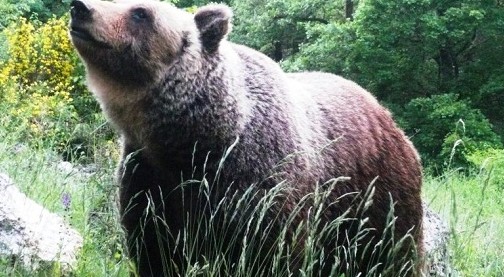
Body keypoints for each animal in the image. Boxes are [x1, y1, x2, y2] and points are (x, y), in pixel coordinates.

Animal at [69, 0, 424, 274]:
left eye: (141, 12)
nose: (81, 8)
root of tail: (387, 115)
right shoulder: (149, 176)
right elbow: (155, 247)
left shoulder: (261, 182)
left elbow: (270, 252)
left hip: (377, 199)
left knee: (391, 254)